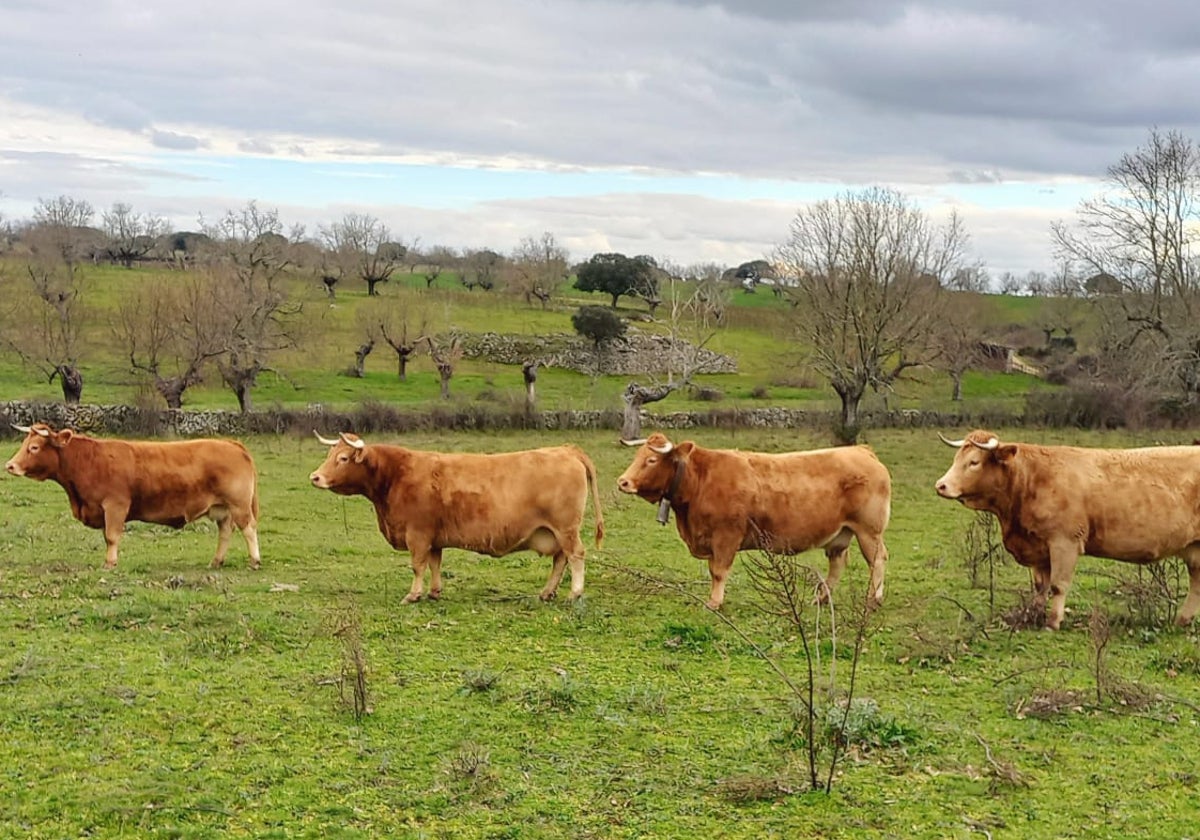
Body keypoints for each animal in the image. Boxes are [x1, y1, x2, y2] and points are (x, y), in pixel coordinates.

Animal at [4, 422, 259, 568]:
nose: (9, 466)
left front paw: (110, 563)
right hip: (222, 509)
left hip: (239, 505)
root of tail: (231, 444)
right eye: (25, 444)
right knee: (226, 532)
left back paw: (254, 561)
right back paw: (216, 561)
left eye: (34, 447)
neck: (88, 461)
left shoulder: (115, 506)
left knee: (248, 529)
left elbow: (111, 536)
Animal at [309, 432, 604, 604]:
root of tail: (566, 449)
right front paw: (434, 591)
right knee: (560, 559)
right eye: (329, 454)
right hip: (555, 532)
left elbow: (418, 565)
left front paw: (413, 594)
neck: (396, 475)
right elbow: (434, 564)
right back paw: (547, 592)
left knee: (575, 555)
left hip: (566, 529)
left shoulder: (417, 534)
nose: (315, 477)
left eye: (343, 458)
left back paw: (574, 593)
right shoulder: (433, 537)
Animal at [619, 432, 892, 609]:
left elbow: (718, 571)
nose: (623, 482)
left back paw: (874, 599)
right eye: (636, 456)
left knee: (877, 559)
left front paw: (714, 602)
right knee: (838, 563)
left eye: (651, 460)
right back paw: (821, 599)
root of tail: (860, 450)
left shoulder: (726, 537)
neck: (700, 479)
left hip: (869, 531)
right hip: (841, 532)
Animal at [936, 429, 1200, 628]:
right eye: (956, 459)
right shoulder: (1039, 546)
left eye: (974, 462)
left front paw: (1053, 622)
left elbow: (1058, 585)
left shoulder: (1065, 542)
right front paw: (1033, 615)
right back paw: (1182, 621)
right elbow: (1041, 586)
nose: (941, 486)